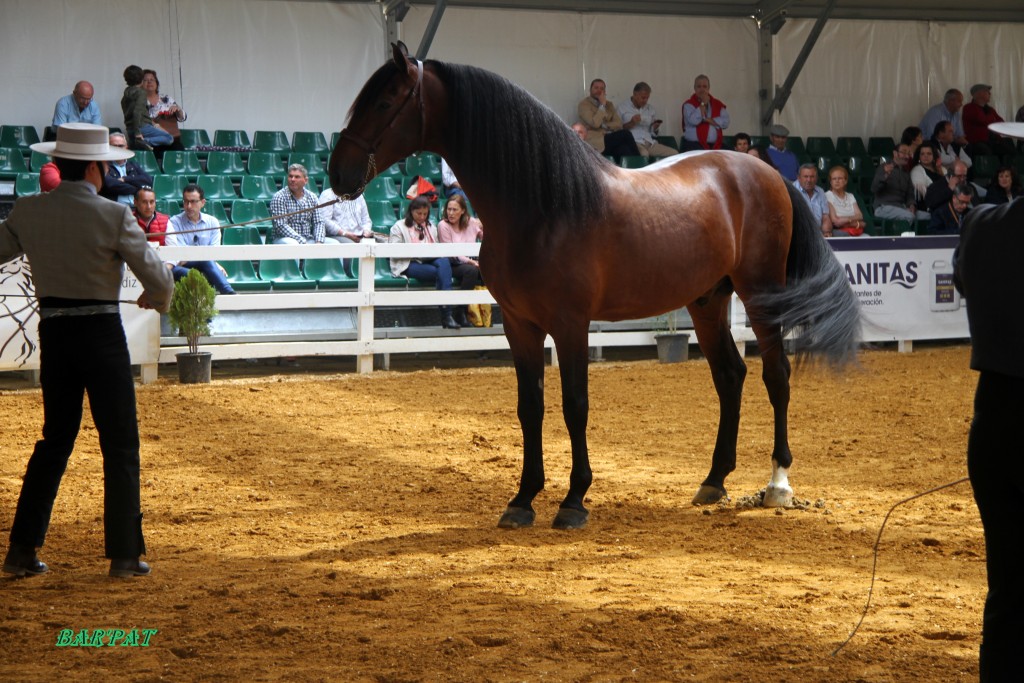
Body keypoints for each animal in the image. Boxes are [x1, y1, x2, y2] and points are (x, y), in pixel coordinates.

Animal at [331, 44, 860, 528]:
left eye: (385, 101)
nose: (339, 173)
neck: (542, 206)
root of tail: (766, 173)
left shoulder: (570, 324)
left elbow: (575, 405)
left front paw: (573, 500)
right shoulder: (519, 325)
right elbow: (530, 407)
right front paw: (523, 500)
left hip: (761, 293)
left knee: (777, 376)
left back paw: (778, 484)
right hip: (707, 300)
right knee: (730, 376)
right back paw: (713, 480)